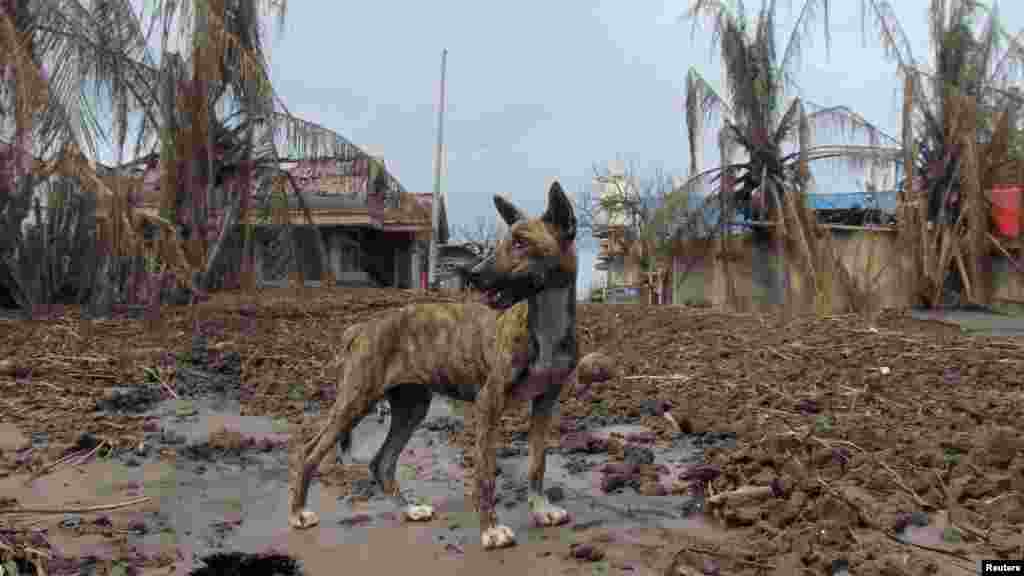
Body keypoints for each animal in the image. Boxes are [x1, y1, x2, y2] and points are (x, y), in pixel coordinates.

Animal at [288, 179, 581, 545]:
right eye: (503, 241)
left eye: (521, 242)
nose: (473, 274)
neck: (545, 321)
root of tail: (362, 328)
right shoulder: (489, 403)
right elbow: (485, 473)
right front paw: (490, 529)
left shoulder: (545, 402)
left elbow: (537, 463)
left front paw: (541, 510)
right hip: (355, 400)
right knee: (309, 452)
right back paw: (299, 513)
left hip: (411, 407)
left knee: (381, 462)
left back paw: (410, 510)